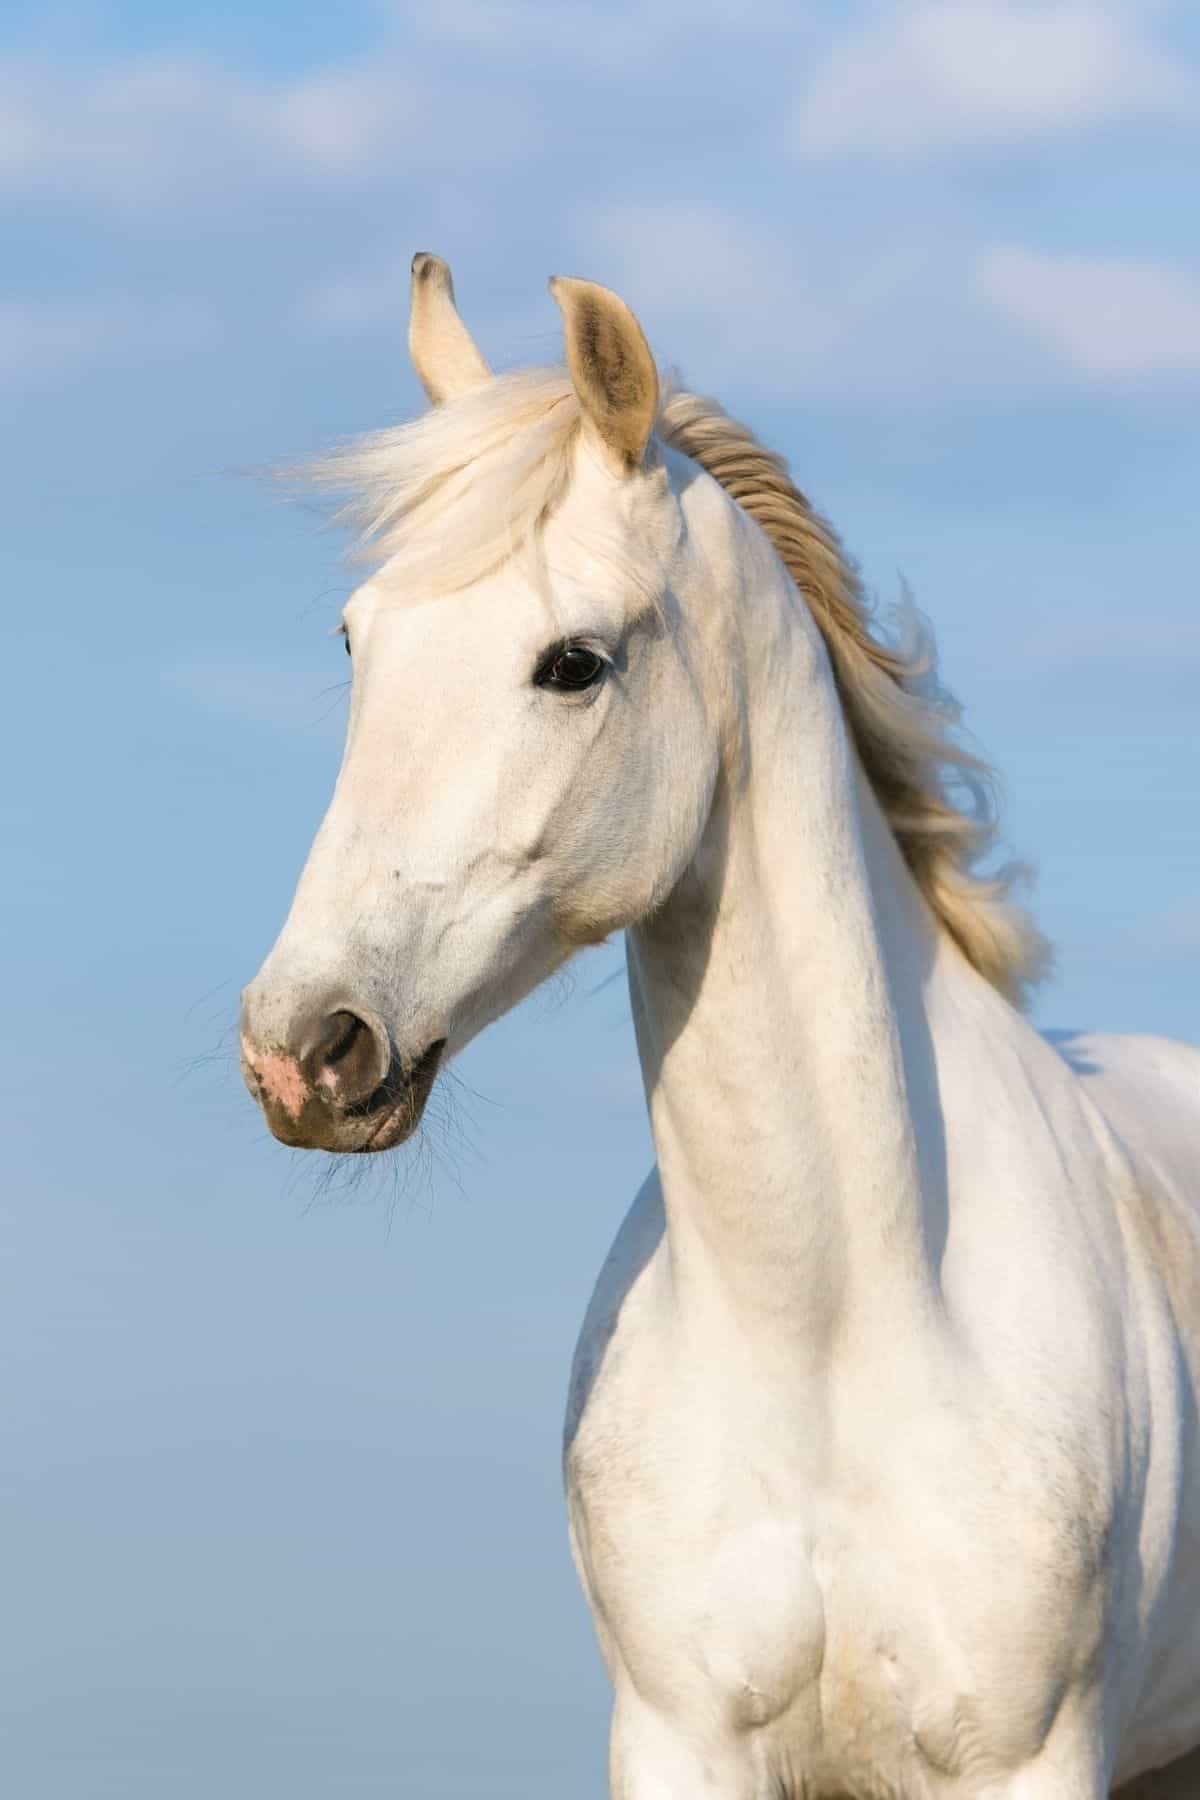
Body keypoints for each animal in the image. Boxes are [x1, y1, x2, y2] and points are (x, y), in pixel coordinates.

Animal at [241, 257, 1200, 1800]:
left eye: (572, 664)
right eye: (354, 640)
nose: (304, 1048)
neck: (834, 1326)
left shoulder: (1032, 1756)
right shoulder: (678, 1741)